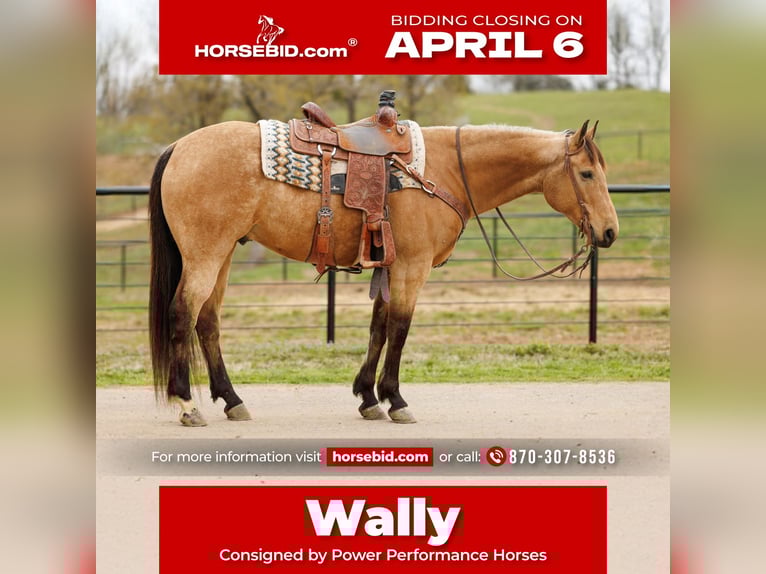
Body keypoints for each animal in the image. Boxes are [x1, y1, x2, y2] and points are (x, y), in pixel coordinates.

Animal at [148, 118, 618, 426]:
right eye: (586, 173)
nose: (610, 231)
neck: (444, 171)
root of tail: (178, 147)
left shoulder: (389, 267)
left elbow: (378, 327)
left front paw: (368, 397)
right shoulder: (412, 267)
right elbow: (400, 328)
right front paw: (395, 399)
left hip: (223, 254)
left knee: (207, 322)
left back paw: (231, 399)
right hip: (206, 255)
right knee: (182, 315)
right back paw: (187, 404)